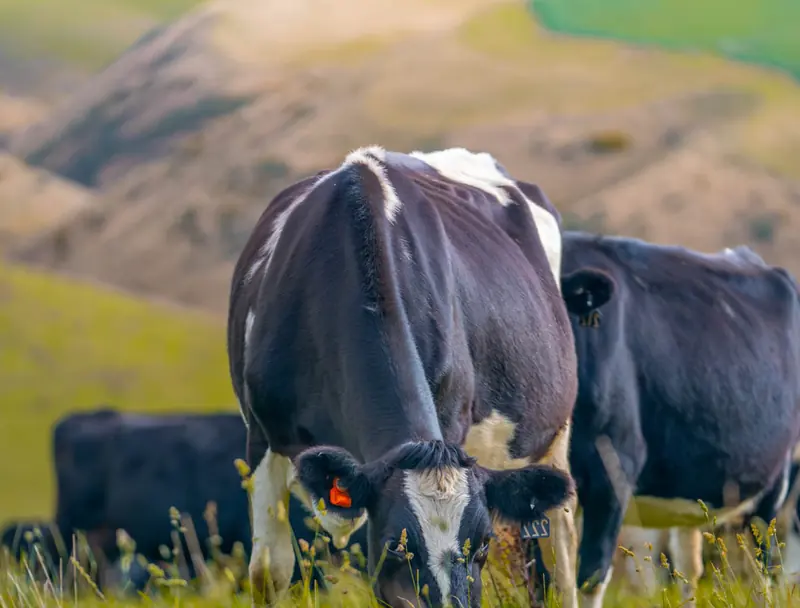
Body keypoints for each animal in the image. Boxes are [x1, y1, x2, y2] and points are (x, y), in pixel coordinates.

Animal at [227, 146, 581, 608]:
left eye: (481, 545)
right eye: (397, 545)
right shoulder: (262, 437)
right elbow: (269, 572)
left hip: (554, 437)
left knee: (562, 555)